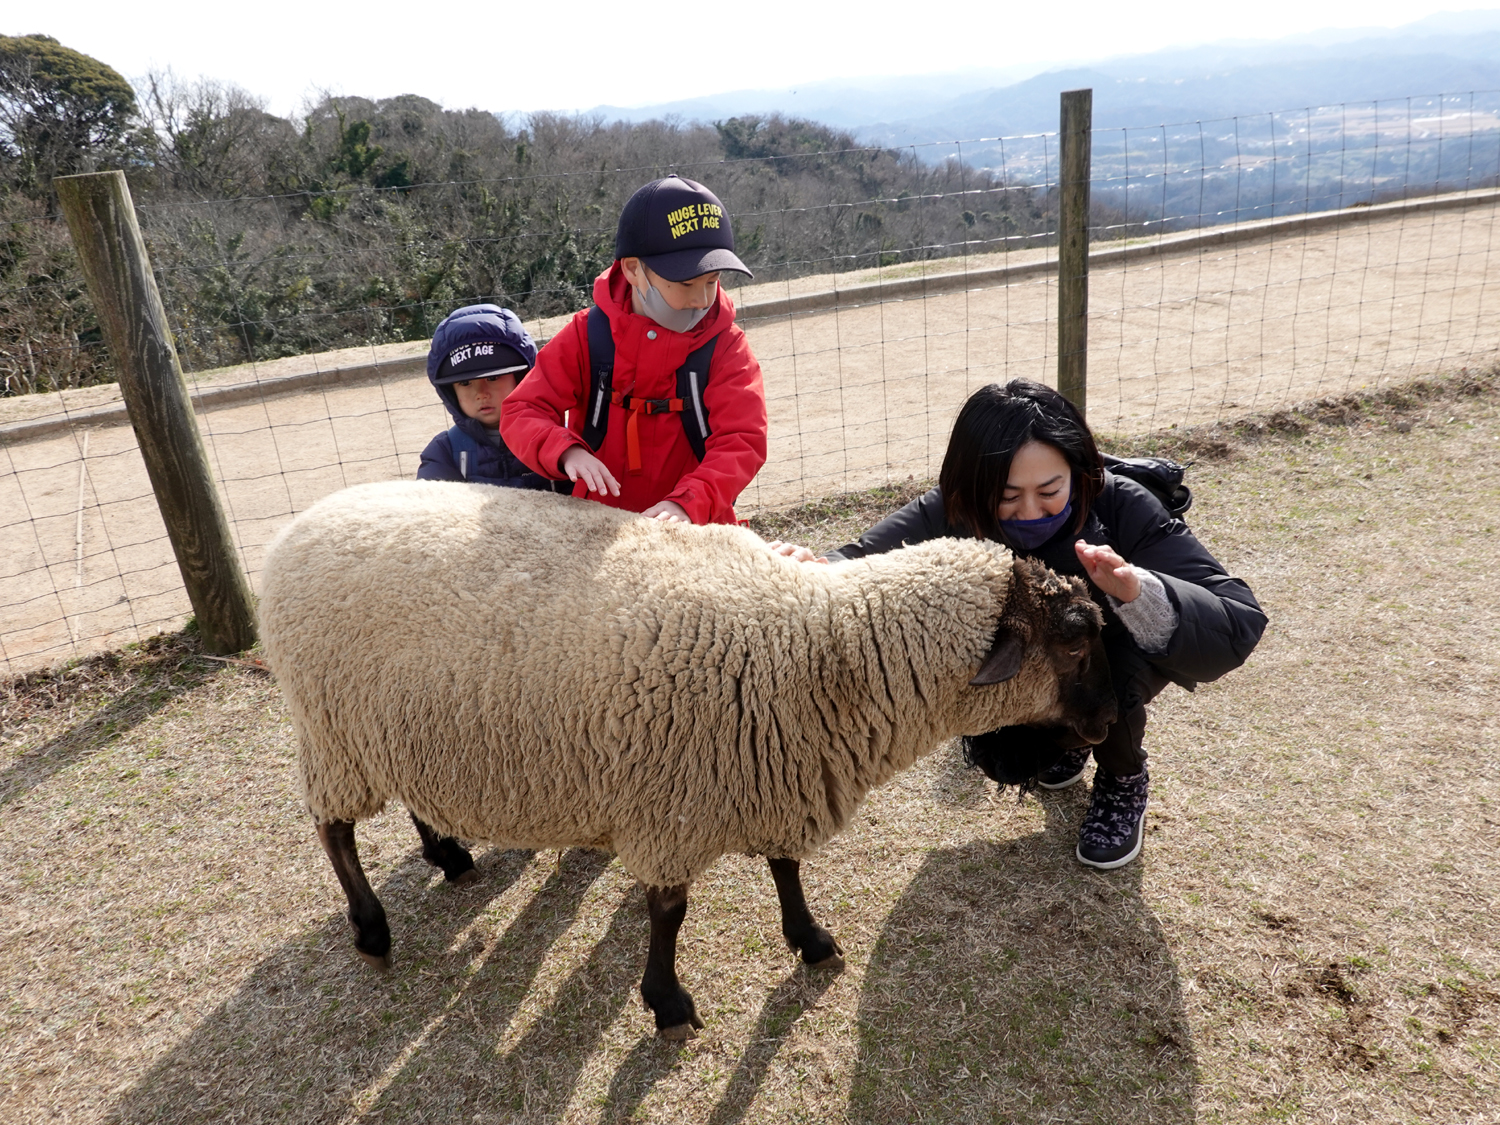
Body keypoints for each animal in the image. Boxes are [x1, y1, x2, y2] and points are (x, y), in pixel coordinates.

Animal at [258, 480, 1116, 1044]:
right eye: (1076, 634)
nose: (1109, 720)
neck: (818, 649)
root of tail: (300, 525)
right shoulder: (671, 799)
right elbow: (668, 910)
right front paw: (667, 1002)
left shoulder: (775, 763)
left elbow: (784, 863)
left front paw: (810, 939)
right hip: (332, 729)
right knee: (332, 830)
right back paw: (371, 927)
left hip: (404, 722)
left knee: (411, 790)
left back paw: (447, 850)